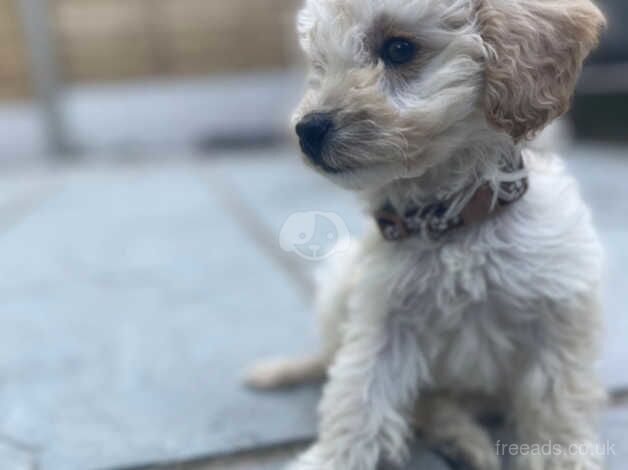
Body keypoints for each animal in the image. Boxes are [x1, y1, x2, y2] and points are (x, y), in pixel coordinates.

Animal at [244, 0, 604, 470]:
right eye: (319, 64)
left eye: (399, 48)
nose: (306, 130)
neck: (449, 220)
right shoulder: (384, 316)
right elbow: (358, 395)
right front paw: (332, 458)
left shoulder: (558, 309)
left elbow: (555, 400)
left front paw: (562, 457)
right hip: (340, 279)